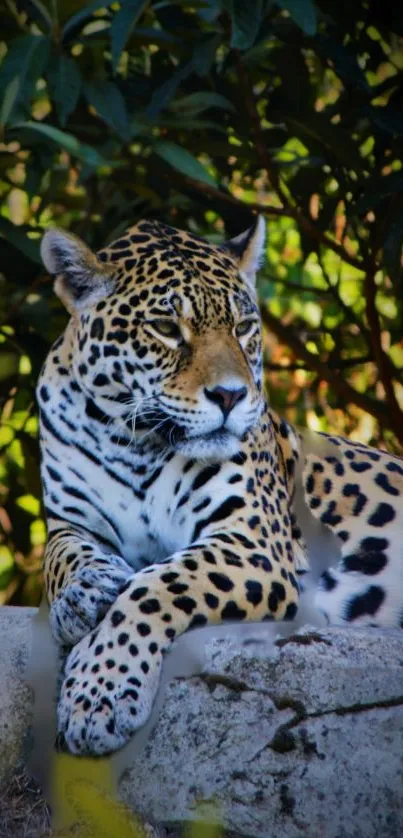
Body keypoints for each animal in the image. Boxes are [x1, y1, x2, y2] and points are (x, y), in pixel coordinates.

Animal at [38, 213, 403, 756]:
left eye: (244, 327)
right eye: (167, 329)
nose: (231, 396)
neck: (133, 440)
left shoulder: (255, 544)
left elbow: (156, 585)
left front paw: (99, 693)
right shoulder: (68, 522)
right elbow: (61, 559)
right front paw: (81, 596)